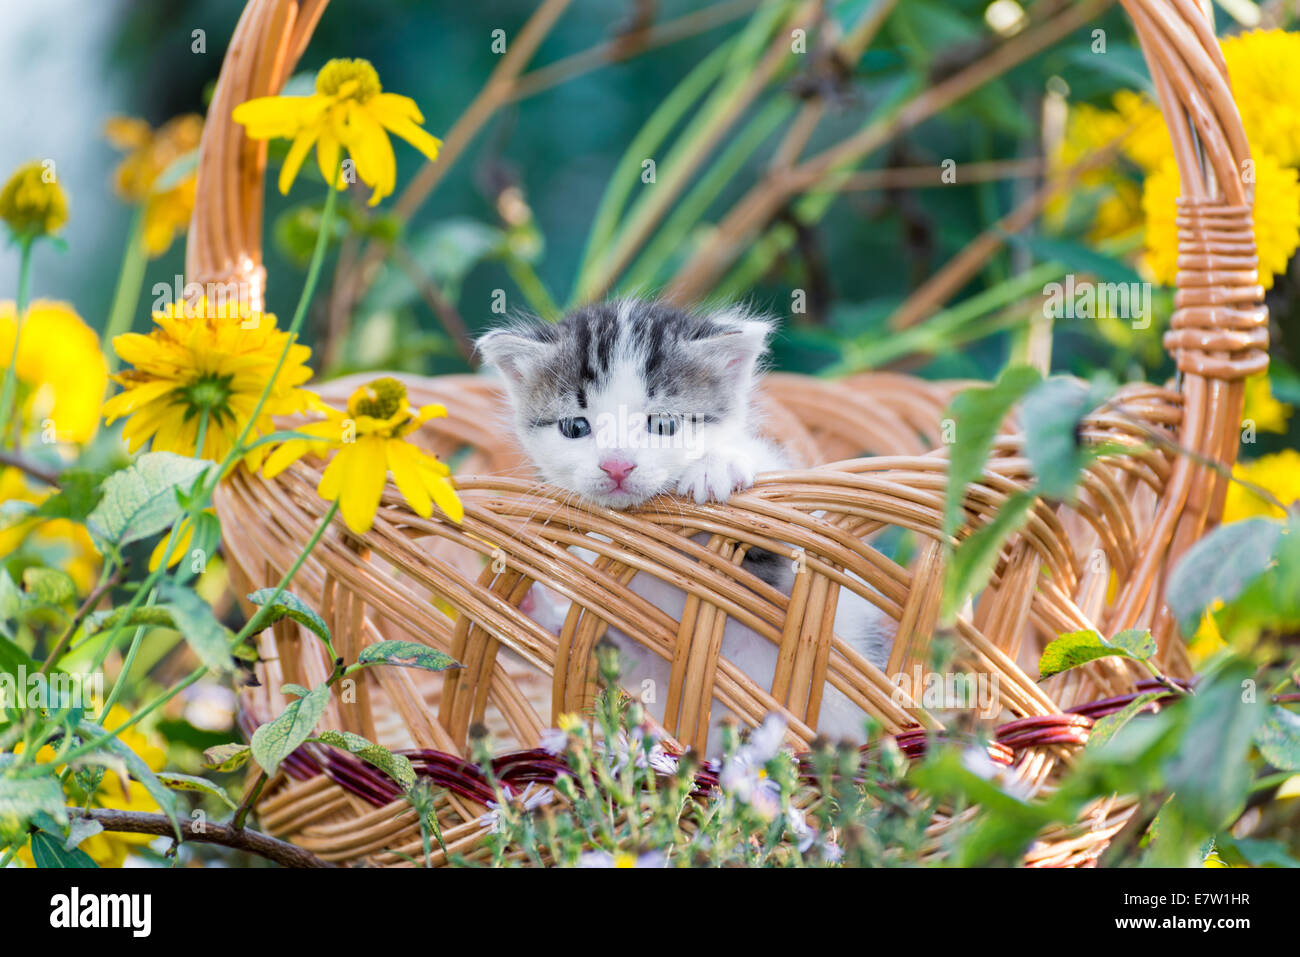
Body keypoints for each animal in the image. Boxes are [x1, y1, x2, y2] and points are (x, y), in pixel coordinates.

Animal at [478, 299, 894, 748]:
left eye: (664, 424)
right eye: (575, 427)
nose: (617, 465)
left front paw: (717, 465)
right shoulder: (642, 651)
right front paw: (527, 606)